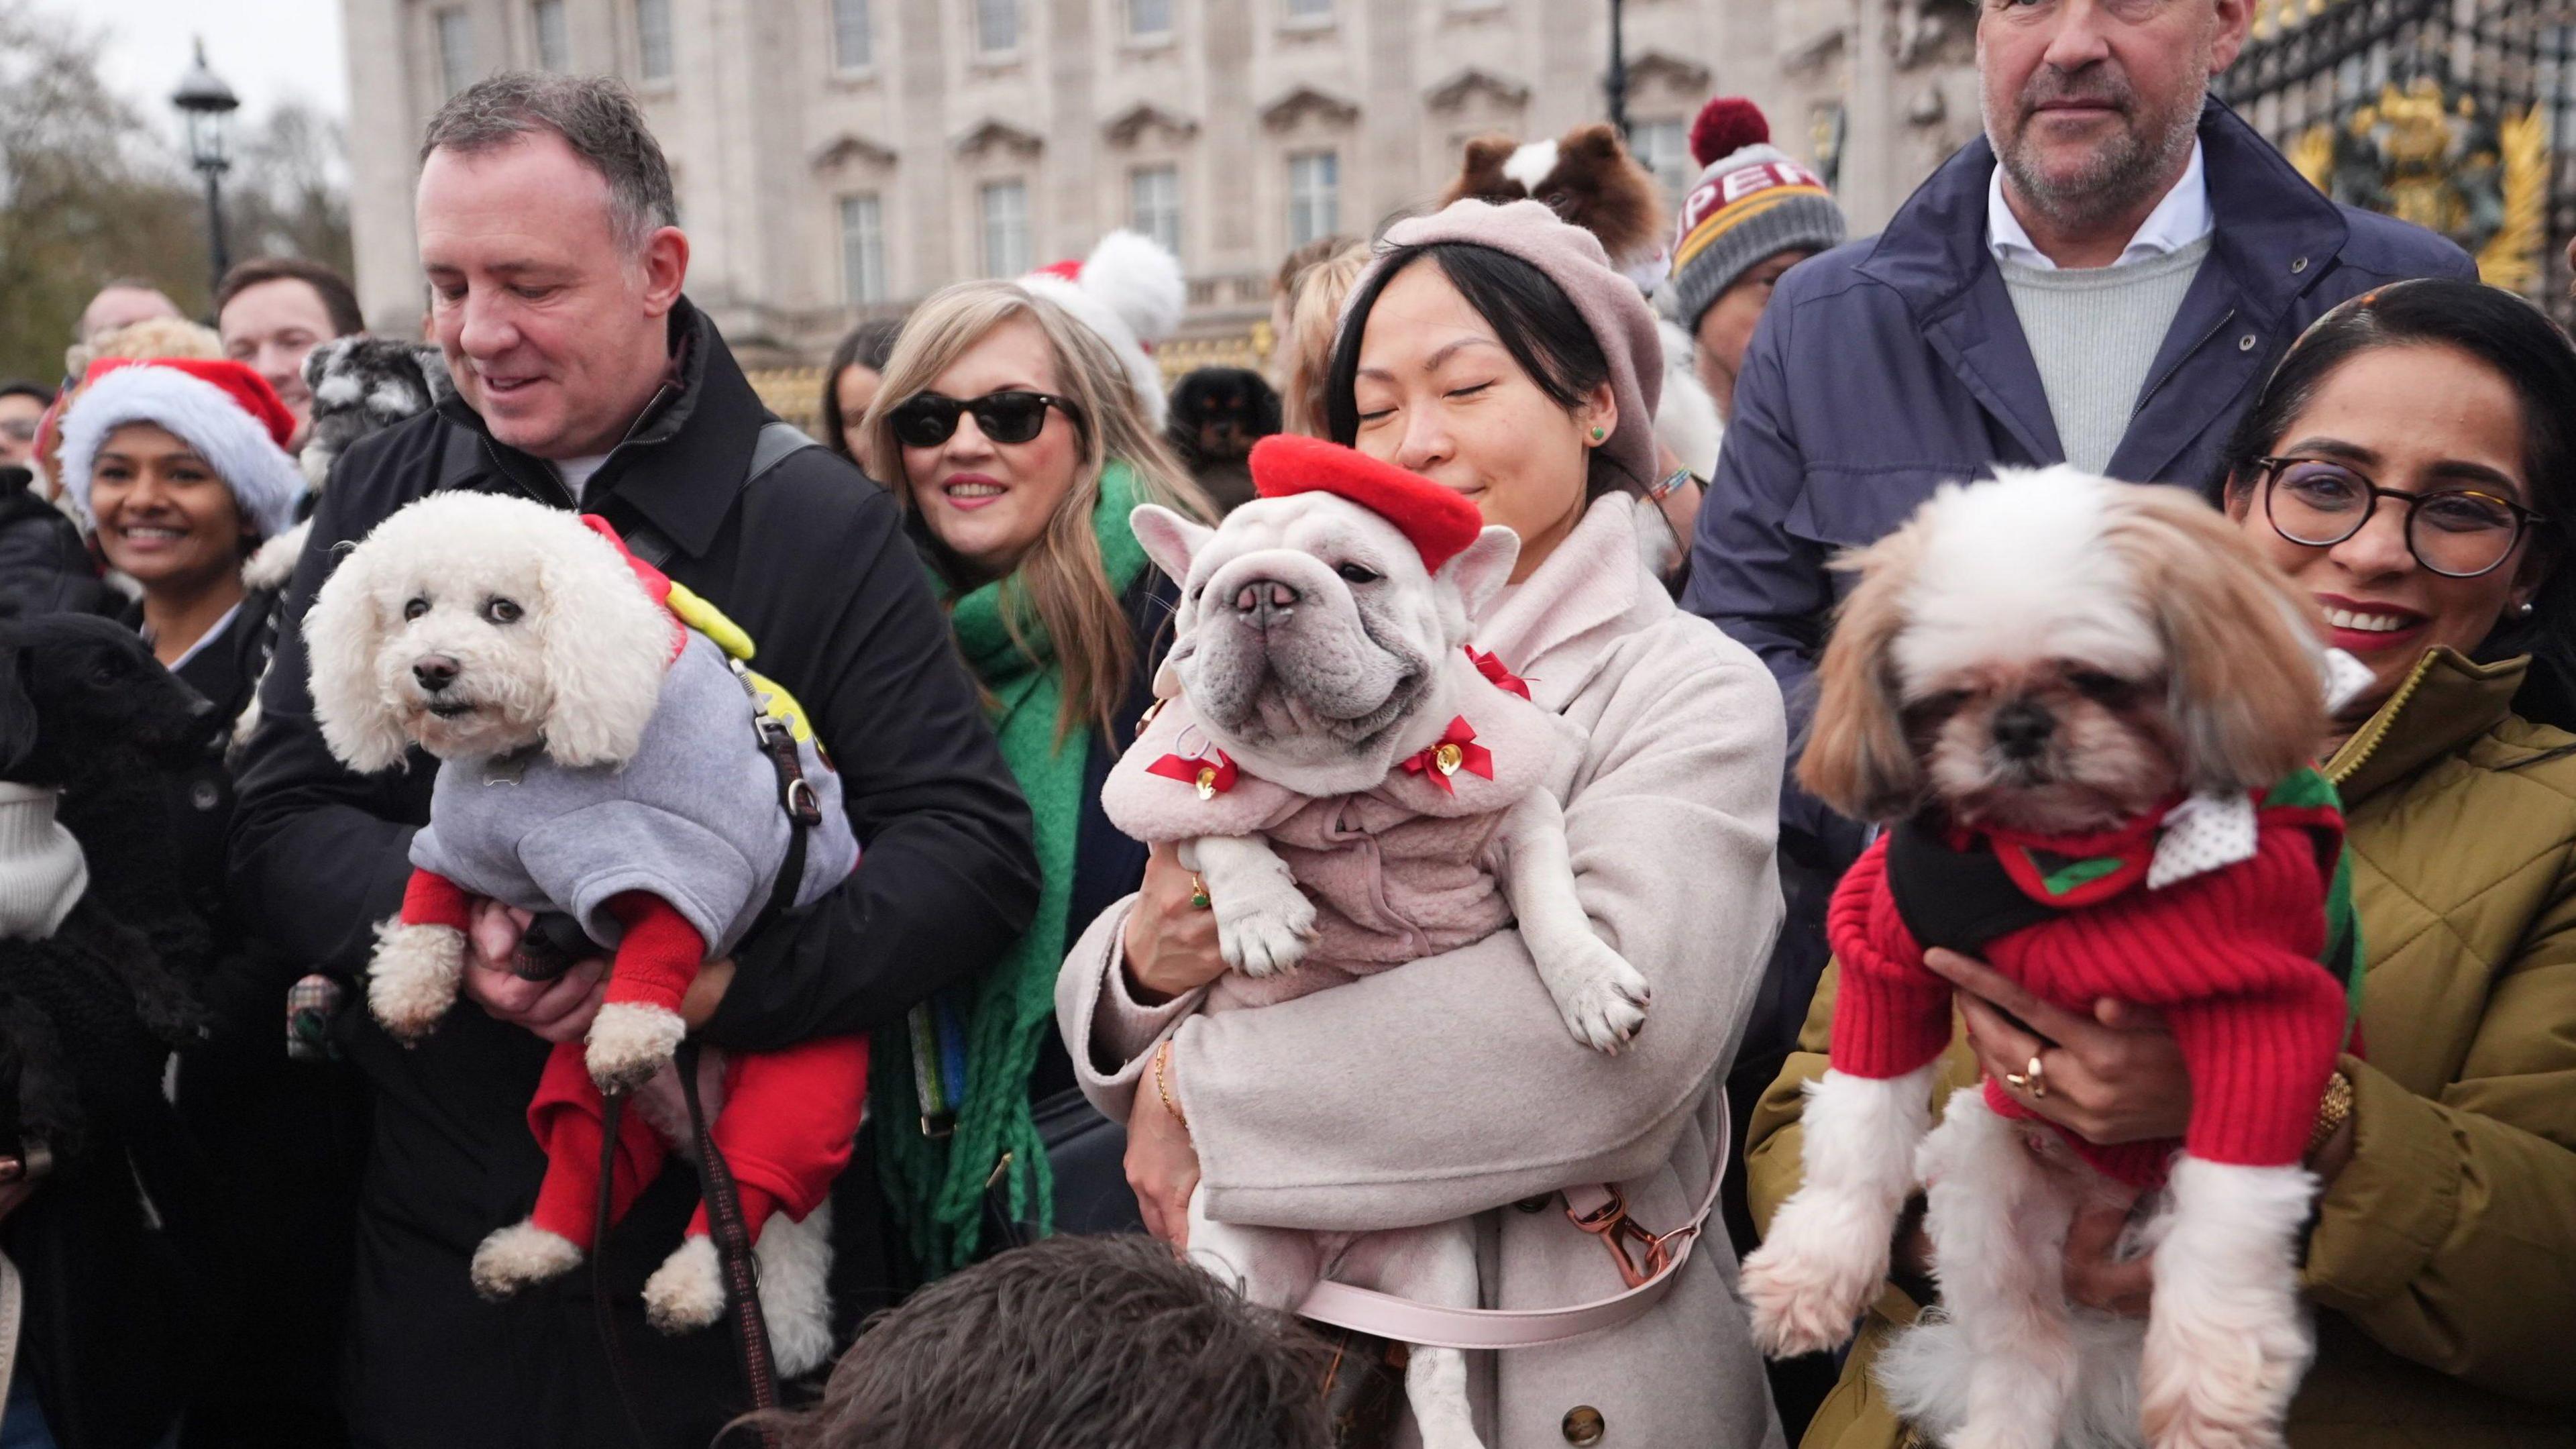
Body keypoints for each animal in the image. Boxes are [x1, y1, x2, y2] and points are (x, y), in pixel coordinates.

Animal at [0, 608, 223, 1160]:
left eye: (149, 654)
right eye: (104, 675)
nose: (210, 713)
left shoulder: (62, 900)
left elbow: (129, 939)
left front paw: (170, 1002)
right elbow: (24, 1011)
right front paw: (50, 1099)